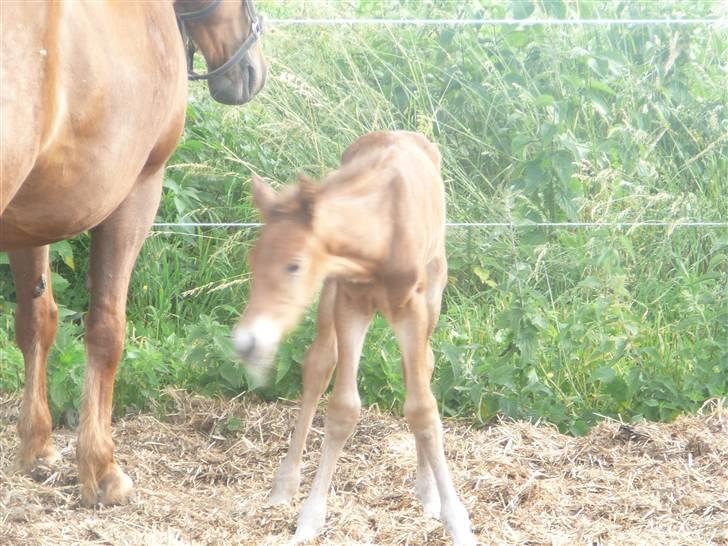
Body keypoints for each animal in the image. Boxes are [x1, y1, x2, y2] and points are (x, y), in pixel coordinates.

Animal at [0, 0, 268, 504]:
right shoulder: (138, 194)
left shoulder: (34, 214)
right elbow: (107, 331)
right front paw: (102, 469)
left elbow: (36, 321)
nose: (250, 72)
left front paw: (37, 447)